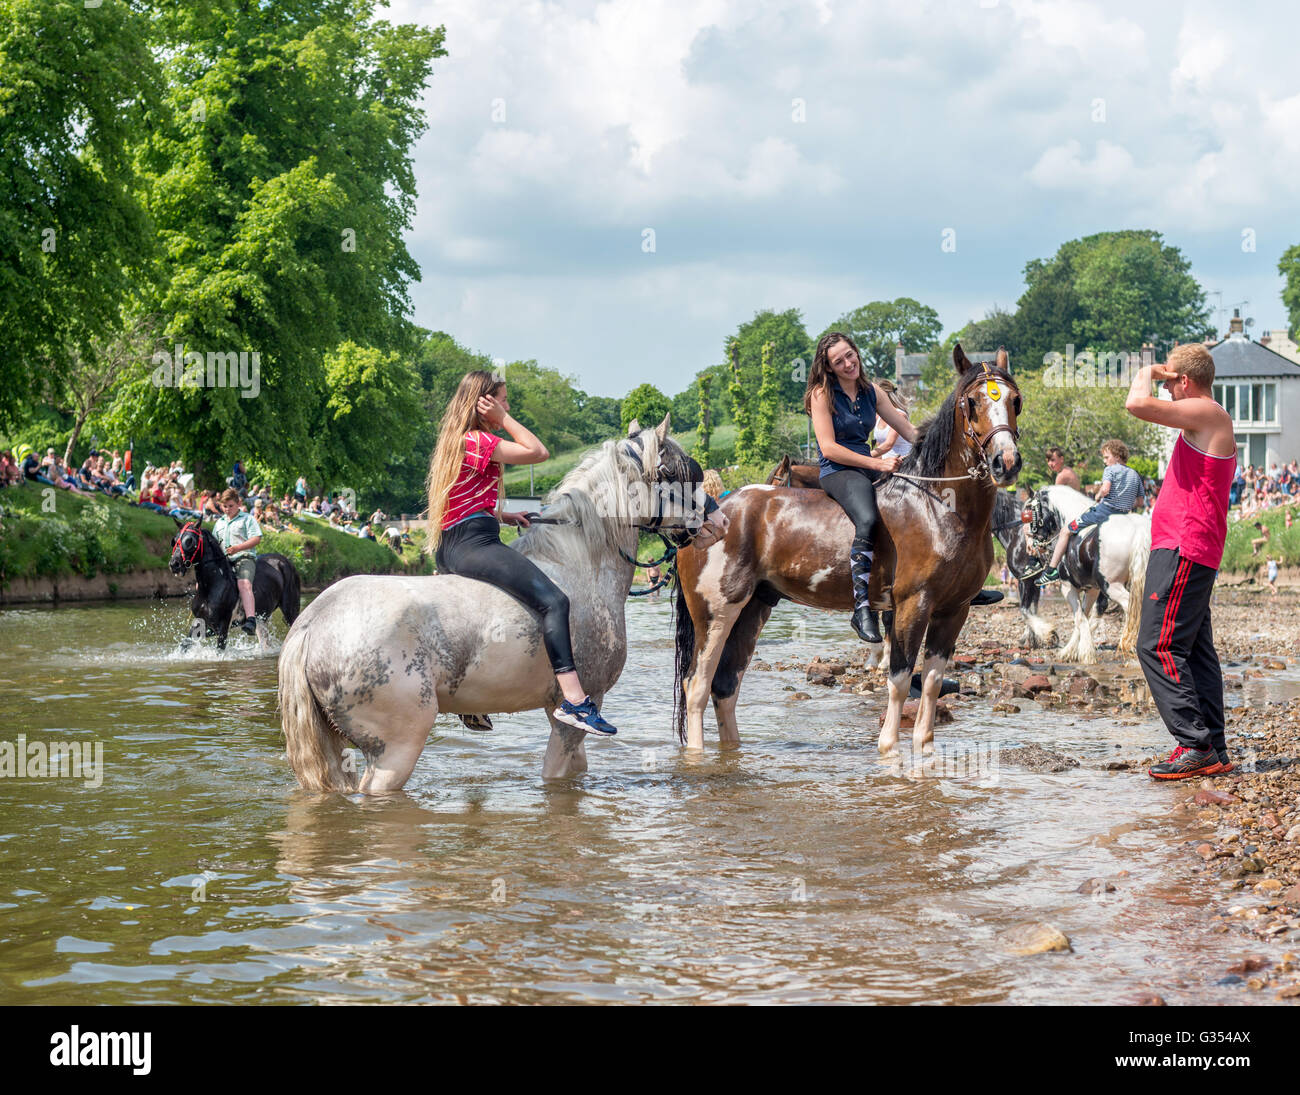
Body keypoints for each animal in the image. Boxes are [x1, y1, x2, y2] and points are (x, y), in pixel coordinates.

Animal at [169, 521, 302, 650]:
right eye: (174, 540)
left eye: (190, 540)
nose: (174, 564)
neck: (211, 587)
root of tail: (285, 560)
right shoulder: (203, 623)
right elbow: (185, 644)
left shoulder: (223, 626)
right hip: (261, 619)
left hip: (290, 611)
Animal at [277, 415, 726, 794]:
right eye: (680, 474)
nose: (719, 522)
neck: (581, 561)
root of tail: (313, 623)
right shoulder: (581, 706)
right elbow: (559, 774)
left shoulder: (552, 709)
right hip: (397, 745)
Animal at [673, 345, 1022, 763]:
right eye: (970, 402)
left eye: (1016, 400)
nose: (1006, 462)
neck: (940, 506)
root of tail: (707, 515)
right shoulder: (913, 604)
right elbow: (900, 678)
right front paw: (889, 749)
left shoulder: (955, 609)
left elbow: (933, 680)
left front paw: (923, 749)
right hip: (715, 613)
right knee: (696, 685)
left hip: (753, 607)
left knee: (724, 686)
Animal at [1022, 485, 1149, 662]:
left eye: (1029, 512)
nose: (1031, 544)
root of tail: (1138, 530)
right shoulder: (1092, 590)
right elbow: (1084, 617)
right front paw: (1071, 651)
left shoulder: (1068, 587)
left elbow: (1080, 618)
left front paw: (1084, 653)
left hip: (1112, 586)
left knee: (1132, 607)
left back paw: (1128, 642)